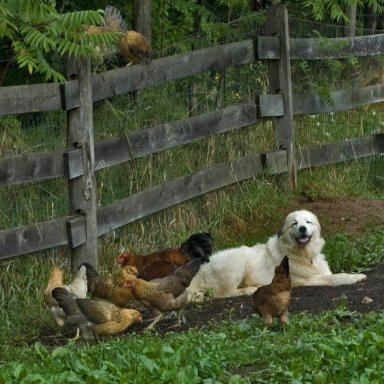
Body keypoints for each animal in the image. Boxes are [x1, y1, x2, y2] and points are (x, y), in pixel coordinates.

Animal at [188, 208, 368, 302]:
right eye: (294, 224)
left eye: (307, 222)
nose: (302, 228)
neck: (301, 253)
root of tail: (201, 268)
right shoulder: (304, 281)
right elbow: (333, 277)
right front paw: (355, 277)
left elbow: (333, 274)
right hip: (235, 263)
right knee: (225, 293)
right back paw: (251, 289)